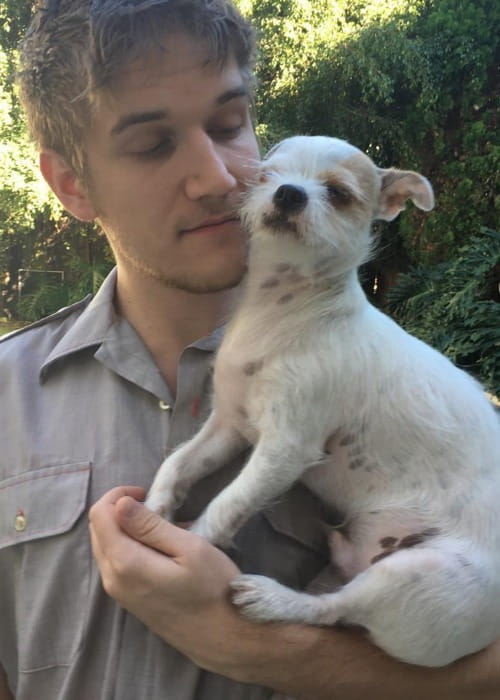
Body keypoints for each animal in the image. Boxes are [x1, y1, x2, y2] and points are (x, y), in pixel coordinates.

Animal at [145, 137, 500, 668]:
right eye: (267, 175)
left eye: (338, 193)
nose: (289, 193)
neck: (284, 311)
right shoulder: (229, 424)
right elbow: (178, 463)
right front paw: (155, 507)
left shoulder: (285, 448)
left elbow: (230, 501)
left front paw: (193, 542)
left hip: (420, 579)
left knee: (333, 611)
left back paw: (273, 599)